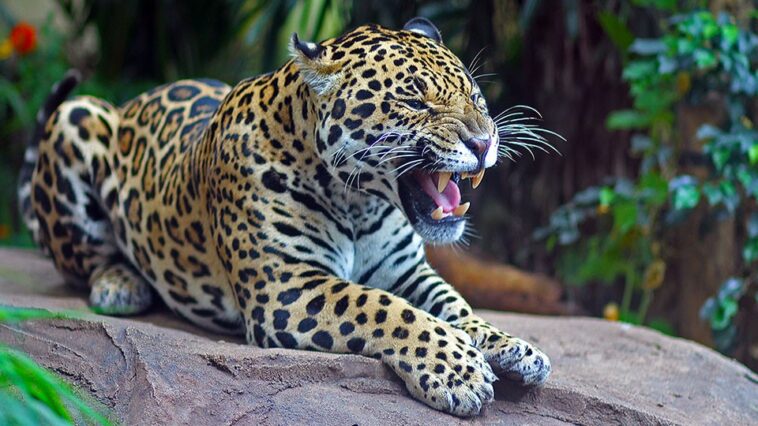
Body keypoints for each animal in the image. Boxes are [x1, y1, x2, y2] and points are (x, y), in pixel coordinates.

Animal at [16, 17, 552, 416]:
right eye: (414, 100)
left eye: (476, 97)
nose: (483, 142)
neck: (360, 205)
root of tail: (130, 103)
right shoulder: (284, 284)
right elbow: (384, 308)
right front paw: (458, 370)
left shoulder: (407, 271)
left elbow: (454, 306)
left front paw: (510, 345)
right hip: (77, 116)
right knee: (82, 259)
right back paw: (119, 284)